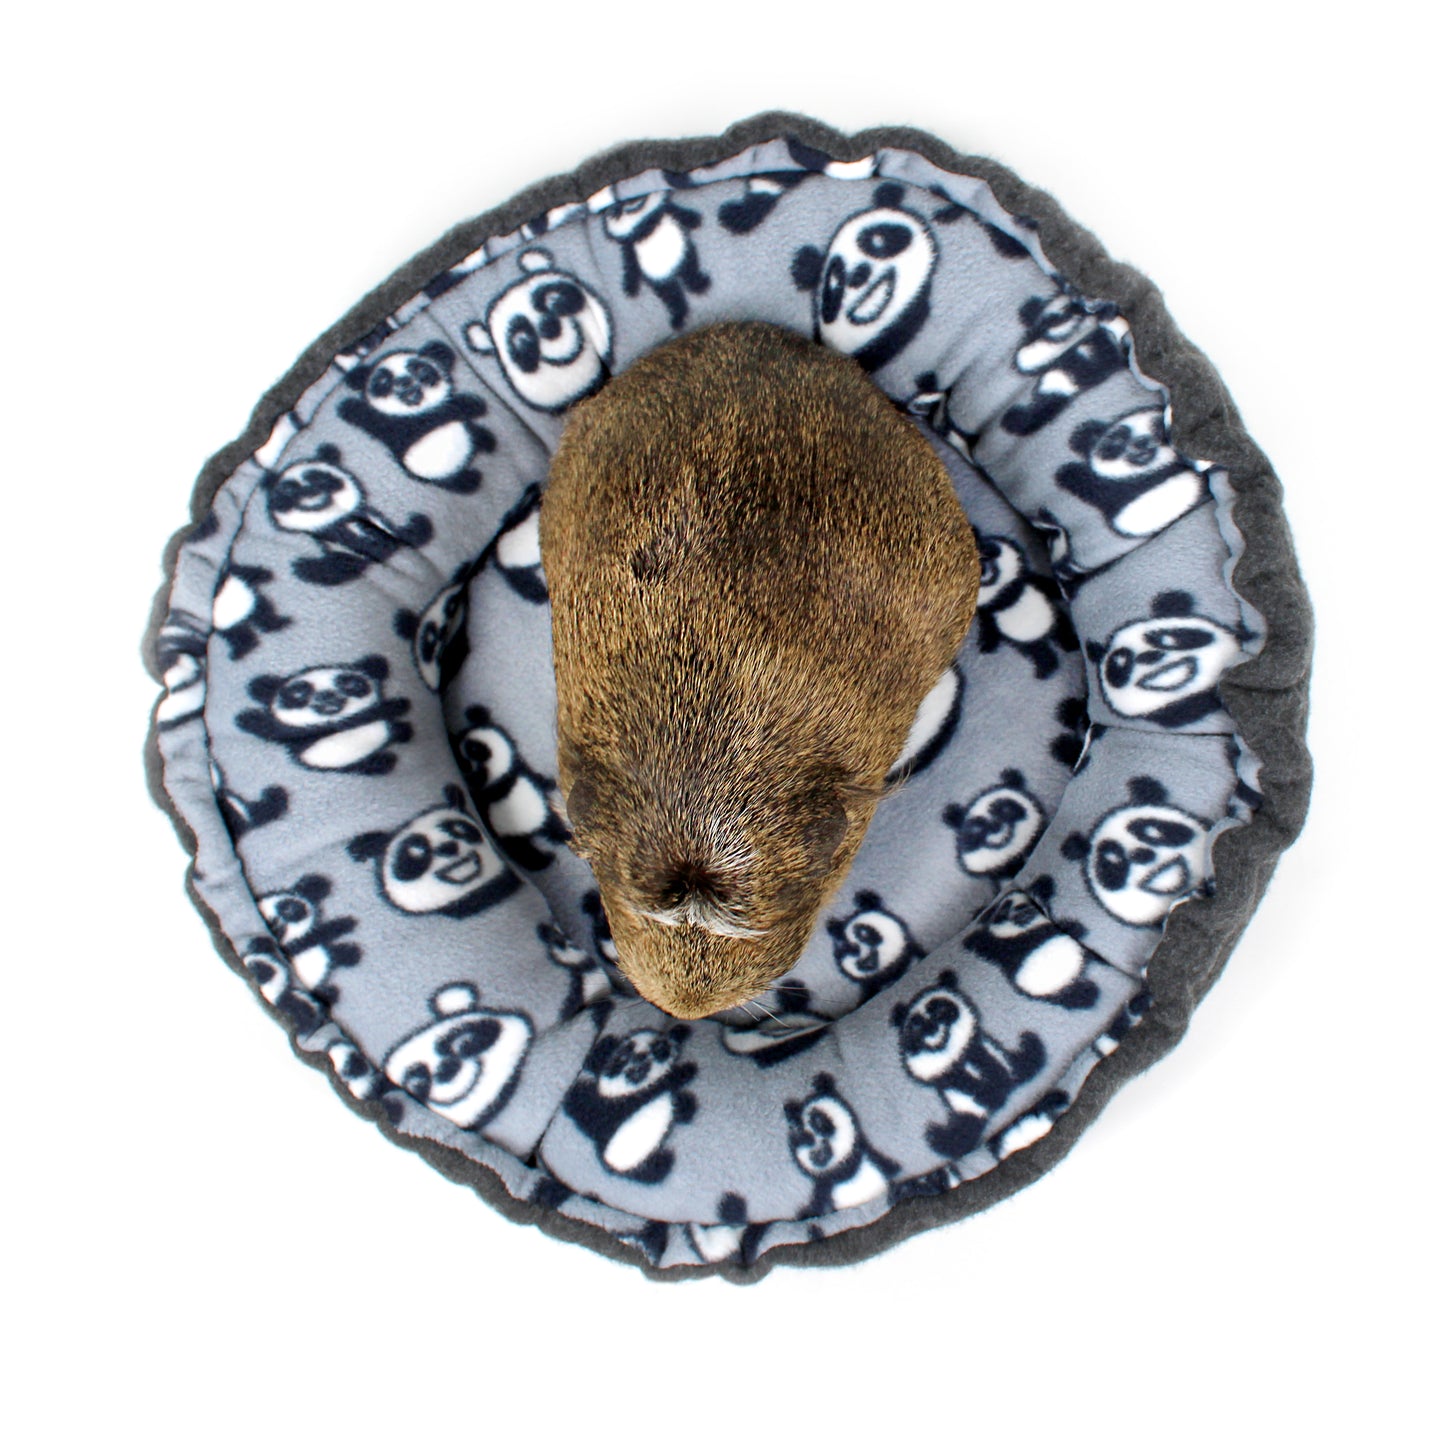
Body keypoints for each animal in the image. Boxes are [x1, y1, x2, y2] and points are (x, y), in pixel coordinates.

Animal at [337, 341, 495, 493]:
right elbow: (368, 417)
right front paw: (347, 407)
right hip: (430, 475)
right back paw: (471, 480)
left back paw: (488, 442)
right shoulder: (389, 426)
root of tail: (464, 461)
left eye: (421, 371)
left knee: (476, 434)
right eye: (383, 381)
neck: (416, 413)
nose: (404, 381)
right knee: (453, 482)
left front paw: (473, 404)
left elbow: (451, 408)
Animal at [451, 705, 570, 870]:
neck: (504, 776)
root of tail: (534, 826)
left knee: (526, 853)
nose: (455, 740)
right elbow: (538, 779)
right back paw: (564, 837)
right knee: (553, 828)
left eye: (466, 757)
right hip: (544, 816)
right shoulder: (522, 771)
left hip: (514, 837)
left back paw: (545, 859)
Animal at [602, 192, 711, 330]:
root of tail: (673, 270)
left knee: (674, 294)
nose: (608, 212)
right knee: (685, 279)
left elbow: (630, 266)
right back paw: (698, 287)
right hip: (682, 261)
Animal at [891, 970, 1047, 1159]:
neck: (952, 1051)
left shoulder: (975, 1046)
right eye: (916, 1024)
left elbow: (990, 1065)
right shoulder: (941, 1073)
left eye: (940, 1010)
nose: (933, 1029)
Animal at [974, 534, 1078, 680]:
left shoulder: (990, 610)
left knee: (1042, 654)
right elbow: (1048, 585)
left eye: (985, 549)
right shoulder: (1030, 580)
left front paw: (986, 646)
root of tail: (1046, 632)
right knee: (1064, 631)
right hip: (1058, 618)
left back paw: (1044, 671)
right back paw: (1072, 644)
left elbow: (989, 628)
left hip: (1031, 642)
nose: (978, 541)